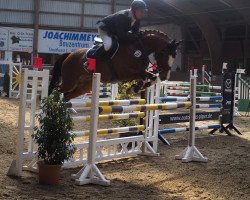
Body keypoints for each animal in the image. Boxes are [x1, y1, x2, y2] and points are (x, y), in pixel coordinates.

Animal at [49, 29, 182, 101]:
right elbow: (146, 76)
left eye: (175, 56)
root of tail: (69, 55)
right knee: (57, 90)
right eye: (164, 53)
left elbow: (151, 77)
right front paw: (134, 87)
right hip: (70, 81)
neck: (139, 48)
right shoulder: (125, 74)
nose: (165, 76)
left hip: (84, 86)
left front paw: (136, 87)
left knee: (67, 95)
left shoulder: (139, 72)